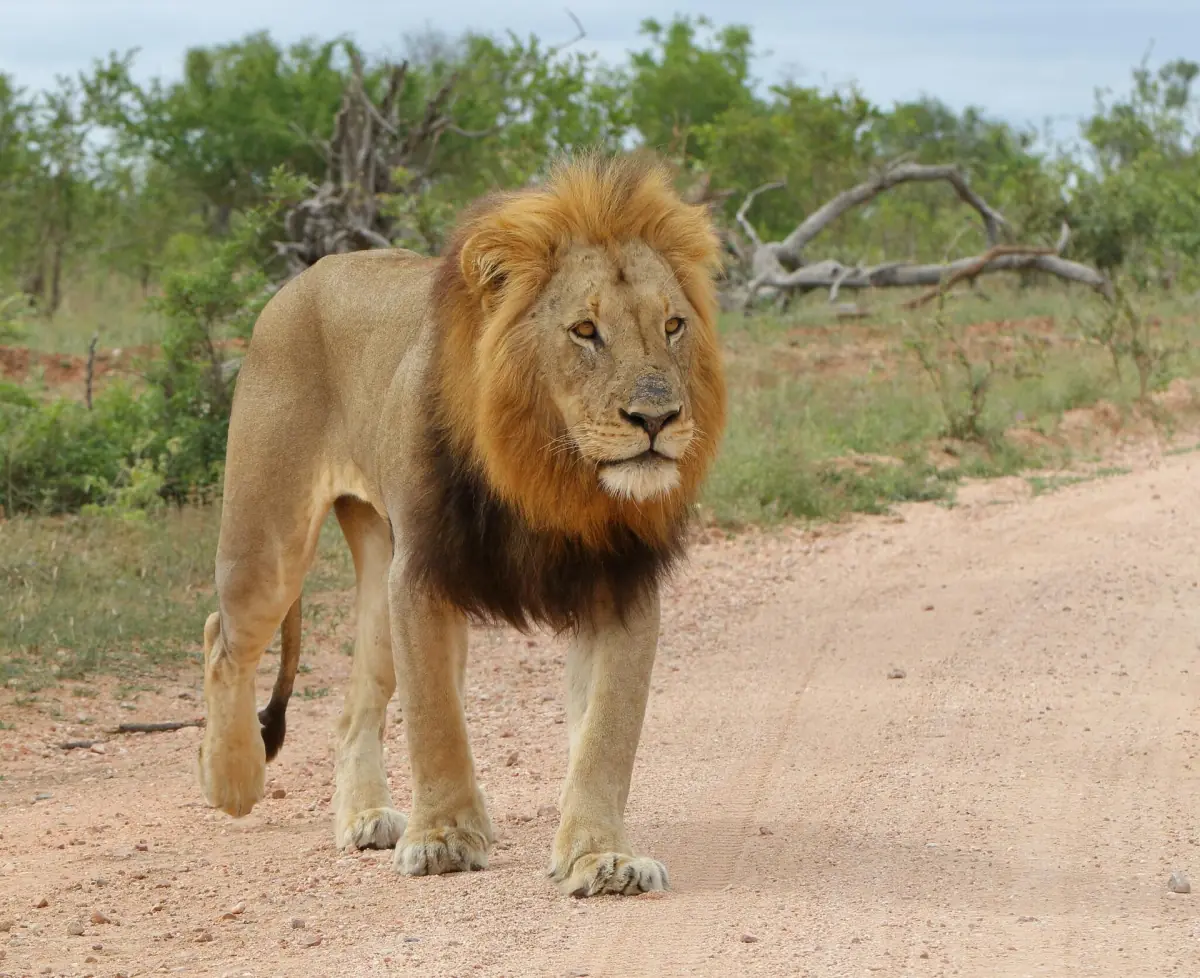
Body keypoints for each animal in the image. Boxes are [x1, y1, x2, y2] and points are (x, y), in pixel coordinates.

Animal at [196, 151, 727, 897]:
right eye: (585, 331)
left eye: (674, 325)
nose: (657, 417)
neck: (550, 474)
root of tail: (306, 274)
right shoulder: (422, 577)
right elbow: (436, 722)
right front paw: (444, 839)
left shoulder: (620, 585)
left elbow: (606, 735)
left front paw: (601, 857)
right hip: (267, 541)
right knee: (224, 636)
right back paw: (233, 781)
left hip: (375, 570)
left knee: (352, 705)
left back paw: (364, 817)